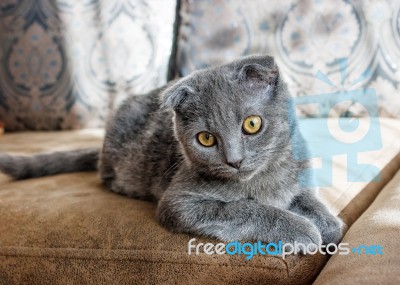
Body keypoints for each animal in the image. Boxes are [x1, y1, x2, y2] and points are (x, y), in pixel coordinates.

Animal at [0, 55, 344, 248]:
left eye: (252, 124)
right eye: (206, 139)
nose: (234, 161)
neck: (264, 179)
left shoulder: (298, 177)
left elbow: (311, 200)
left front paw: (329, 225)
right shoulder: (180, 202)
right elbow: (246, 209)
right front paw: (301, 229)